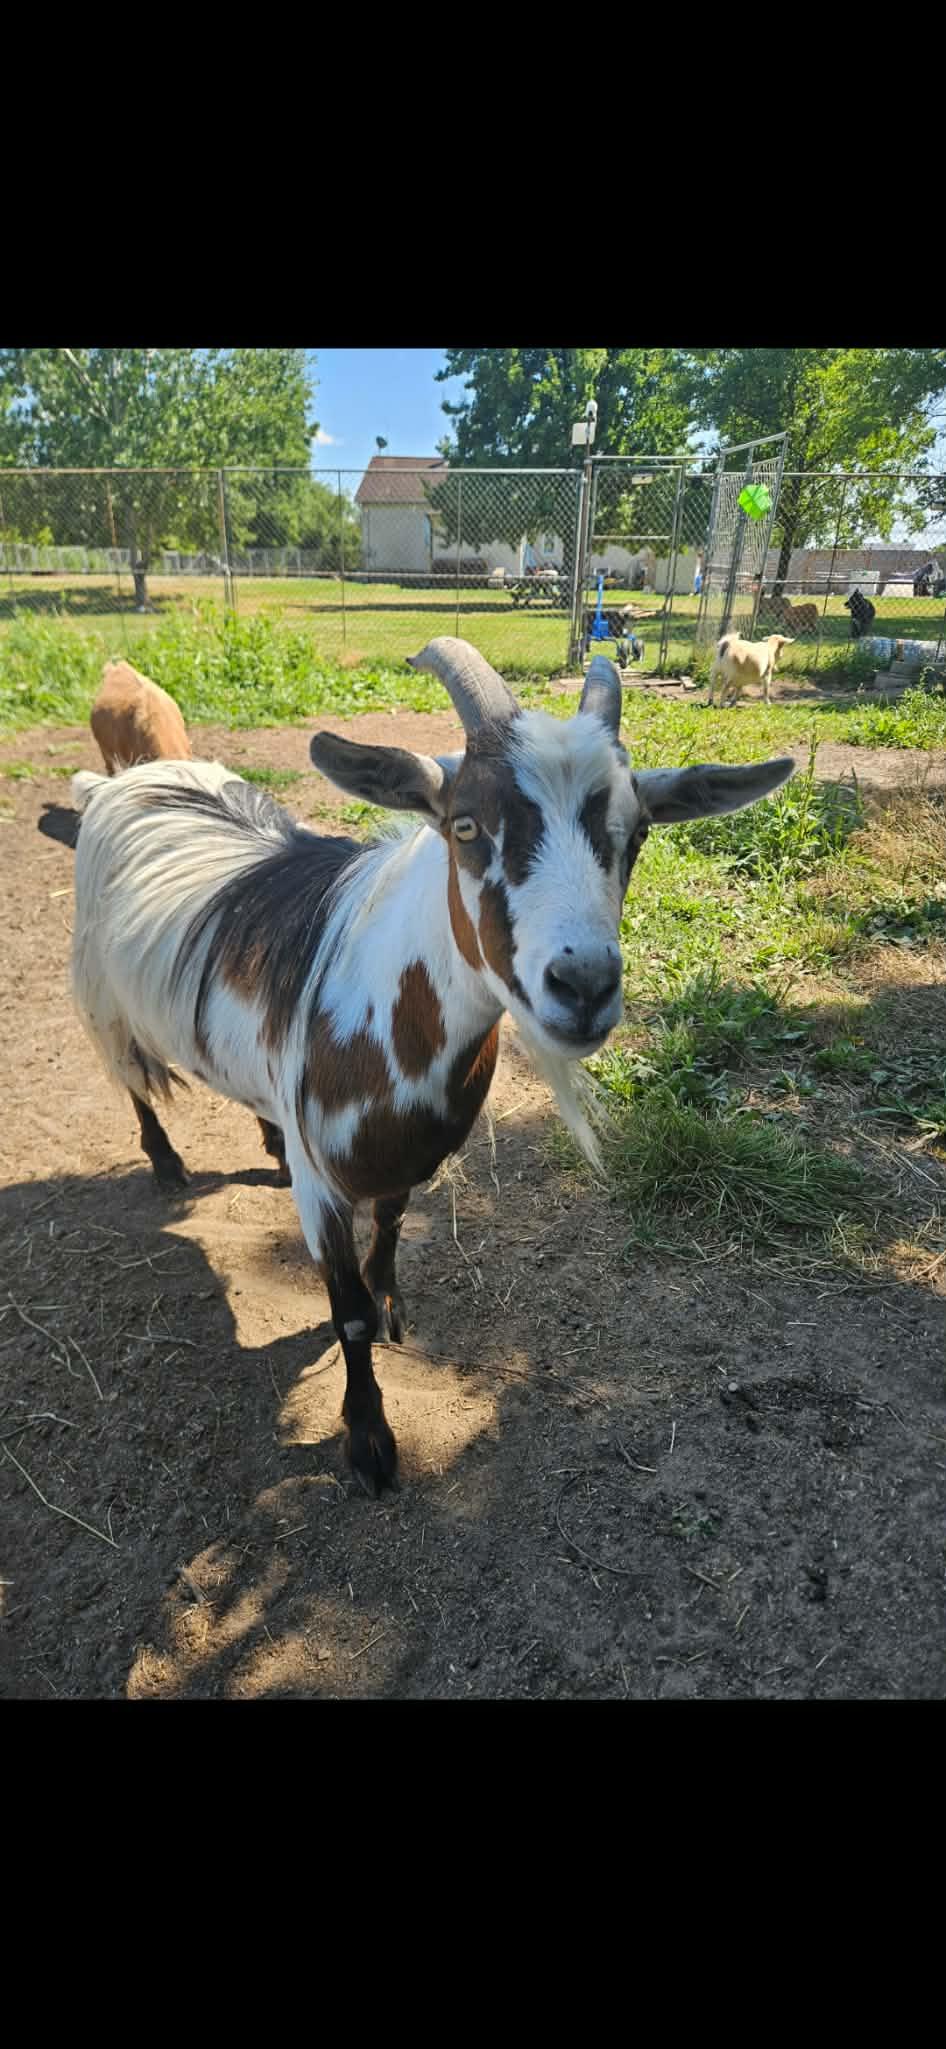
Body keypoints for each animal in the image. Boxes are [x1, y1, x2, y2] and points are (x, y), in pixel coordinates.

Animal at [70, 638, 794, 1495]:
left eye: (639, 834)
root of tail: (125, 778)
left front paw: (391, 1303)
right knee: (129, 1079)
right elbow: (344, 1310)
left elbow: (390, 1225)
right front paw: (369, 1439)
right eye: (466, 825)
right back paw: (166, 1162)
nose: (583, 984)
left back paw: (267, 1145)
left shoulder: (408, 1152)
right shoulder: (324, 1184)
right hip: (99, 990)